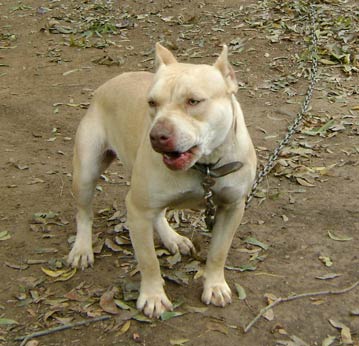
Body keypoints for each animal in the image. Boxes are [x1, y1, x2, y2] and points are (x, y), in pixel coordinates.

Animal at [67, 44, 258, 318]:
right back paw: (82, 249)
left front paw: (215, 285)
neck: (205, 167)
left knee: (159, 214)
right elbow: (149, 261)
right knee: (84, 213)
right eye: (152, 103)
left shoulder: (232, 207)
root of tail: (113, 80)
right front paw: (153, 297)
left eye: (193, 101)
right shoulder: (138, 210)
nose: (157, 136)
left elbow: (218, 252)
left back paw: (172, 238)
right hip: (86, 173)